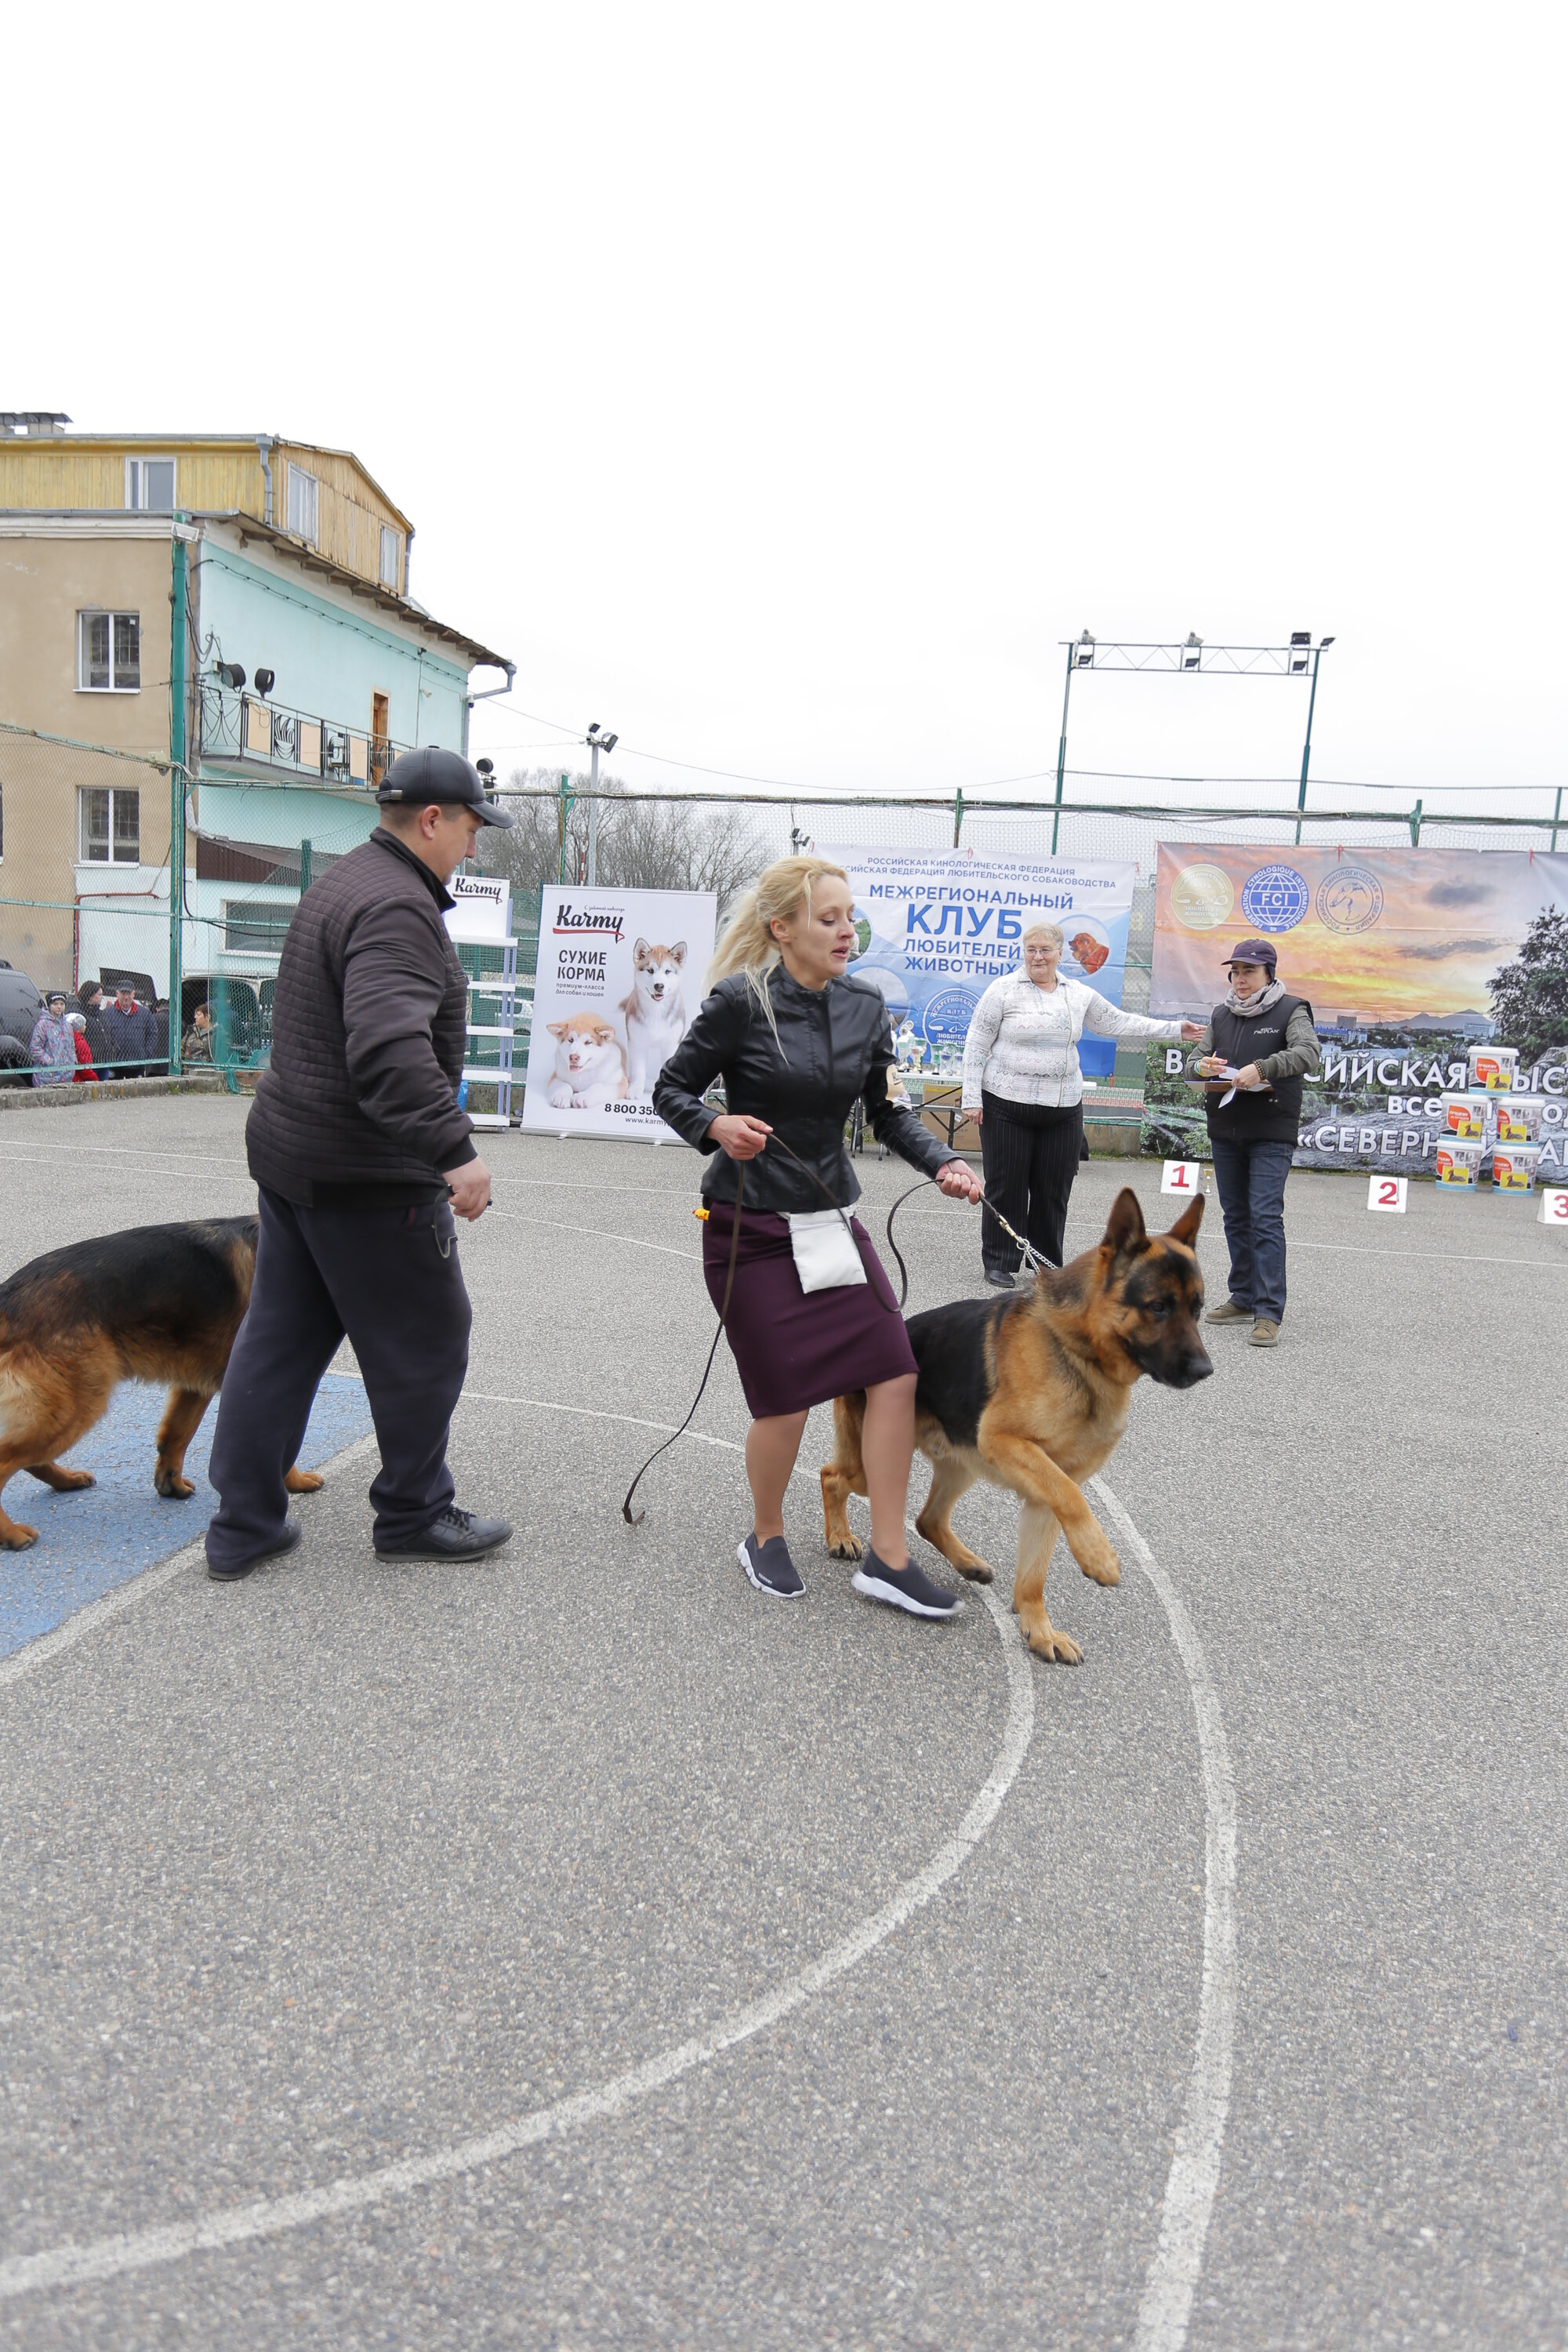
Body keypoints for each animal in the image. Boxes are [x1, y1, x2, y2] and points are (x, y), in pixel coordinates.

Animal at [0, 1223, 321, 1552]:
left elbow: (176, 1437)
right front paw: (293, 1482)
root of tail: (9, 1294)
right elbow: (278, 1448)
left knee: (29, 1459)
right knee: (6, 1460)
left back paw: (67, 1480)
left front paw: (171, 1485)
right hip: (75, 1406)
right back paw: (11, 1534)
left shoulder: (194, 1386)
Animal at [822, 1185, 1213, 1665]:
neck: (1078, 1352)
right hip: (873, 1464)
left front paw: (1040, 1630)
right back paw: (840, 1536)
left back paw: (966, 1562)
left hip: (962, 1465)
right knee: (832, 1476)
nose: (1205, 1371)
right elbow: (1076, 1500)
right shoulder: (1013, 1447)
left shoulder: (1043, 1490)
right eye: (1158, 1307)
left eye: (1198, 1310)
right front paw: (1098, 1556)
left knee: (928, 1520)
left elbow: (1034, 1573)